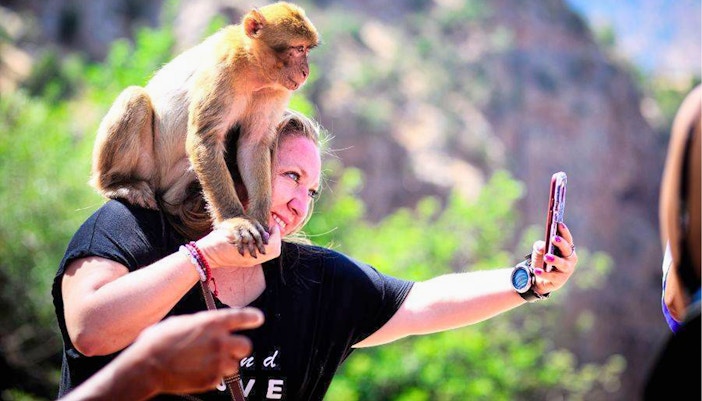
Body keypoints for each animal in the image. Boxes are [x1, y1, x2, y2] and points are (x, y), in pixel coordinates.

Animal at [89, 2, 319, 257]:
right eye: (299, 48)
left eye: (307, 49)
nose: (306, 72)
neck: (254, 70)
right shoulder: (223, 70)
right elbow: (204, 139)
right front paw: (235, 221)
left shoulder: (277, 90)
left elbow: (253, 143)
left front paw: (260, 217)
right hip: (147, 168)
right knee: (135, 98)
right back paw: (117, 184)